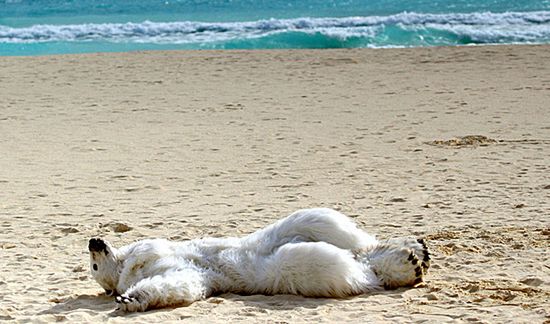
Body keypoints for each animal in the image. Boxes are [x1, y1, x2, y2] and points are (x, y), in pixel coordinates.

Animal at [89, 208, 432, 312]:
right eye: (92, 265)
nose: (94, 241)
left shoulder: (150, 250)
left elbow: (153, 252)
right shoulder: (186, 274)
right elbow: (177, 284)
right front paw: (130, 300)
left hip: (288, 229)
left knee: (331, 228)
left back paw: (415, 250)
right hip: (283, 268)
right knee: (331, 263)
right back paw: (410, 263)